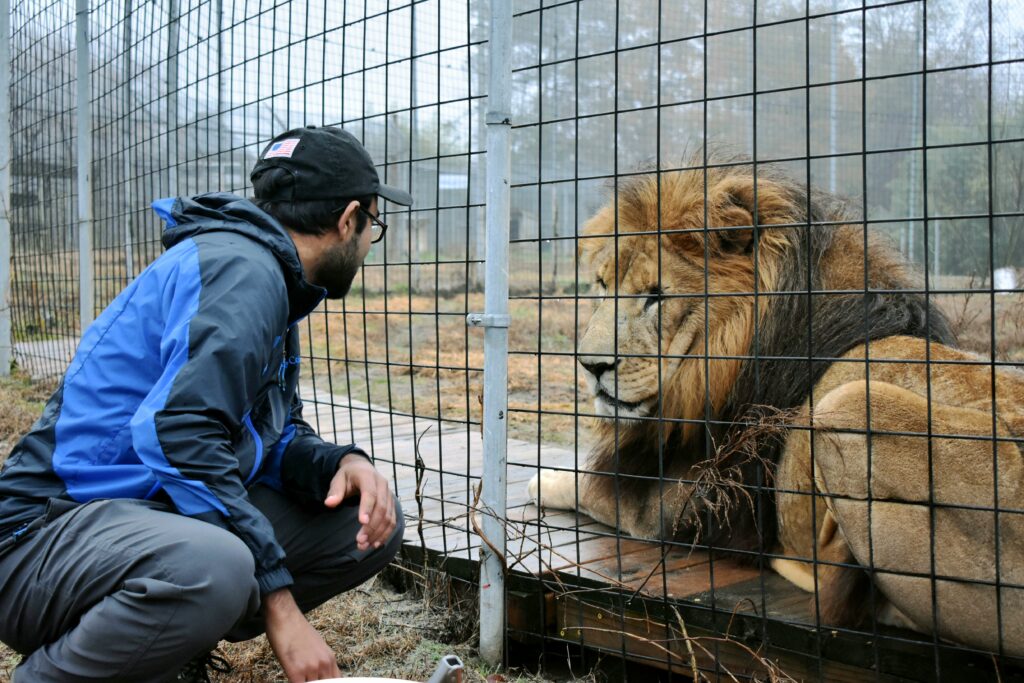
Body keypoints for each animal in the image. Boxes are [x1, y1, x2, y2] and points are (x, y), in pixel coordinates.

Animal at [528, 160, 1024, 655]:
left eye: (655, 295)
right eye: (602, 286)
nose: (591, 366)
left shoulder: (674, 507)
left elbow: (586, 485)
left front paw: (541, 478)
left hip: (854, 402)